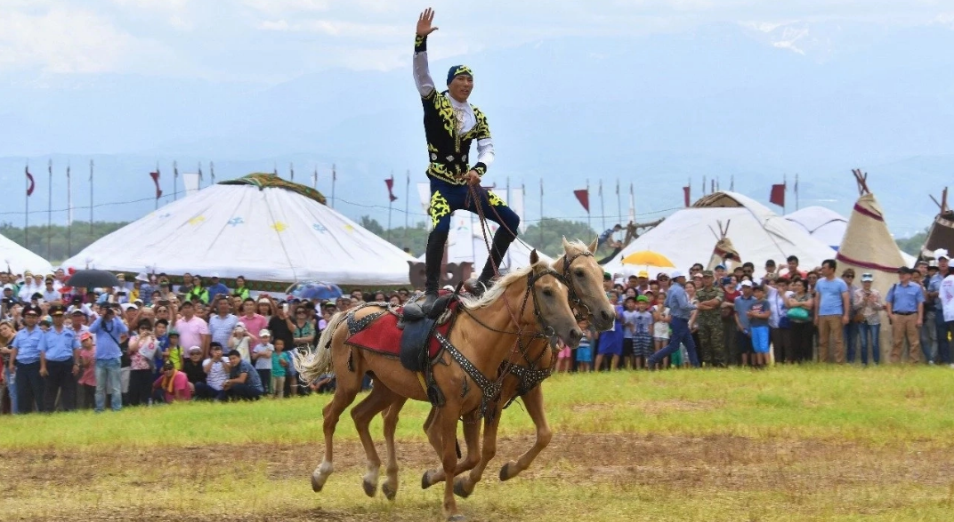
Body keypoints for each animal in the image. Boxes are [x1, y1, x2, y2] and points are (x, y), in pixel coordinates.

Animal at [296, 250, 580, 516]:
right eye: (547, 291)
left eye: (568, 291)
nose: (575, 333)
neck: (476, 339)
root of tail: (348, 314)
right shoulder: (452, 407)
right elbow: (451, 458)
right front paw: (450, 506)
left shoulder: (476, 408)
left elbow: (474, 455)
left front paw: (441, 481)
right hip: (349, 384)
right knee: (331, 416)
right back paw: (322, 474)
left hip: (387, 388)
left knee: (362, 416)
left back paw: (374, 478)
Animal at [346, 239, 612, 500]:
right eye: (579, 273)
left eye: (601, 273)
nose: (608, 315)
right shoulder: (493, 397)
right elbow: (489, 448)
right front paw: (466, 483)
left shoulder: (528, 387)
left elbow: (544, 435)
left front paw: (506, 470)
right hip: (401, 386)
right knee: (391, 420)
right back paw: (392, 480)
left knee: (417, 426)